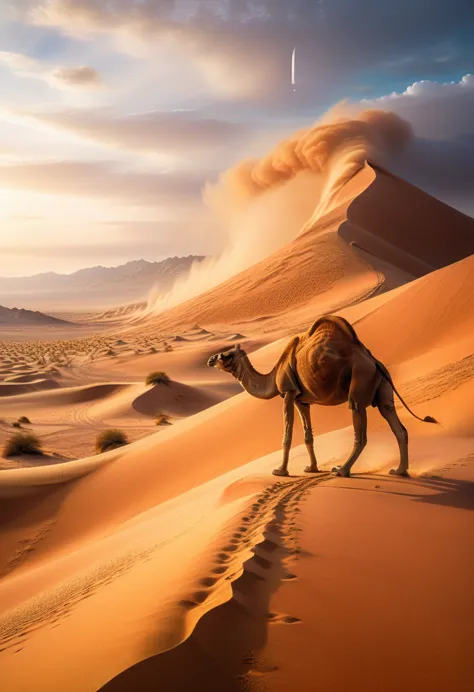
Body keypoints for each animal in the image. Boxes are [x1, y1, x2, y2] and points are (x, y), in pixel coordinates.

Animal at [207, 316, 436, 478]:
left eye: (225, 354)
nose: (210, 360)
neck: (274, 375)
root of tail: (373, 360)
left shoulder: (288, 393)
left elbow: (287, 435)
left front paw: (280, 471)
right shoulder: (302, 400)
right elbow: (308, 436)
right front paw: (312, 468)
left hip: (360, 378)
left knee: (359, 425)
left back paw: (342, 470)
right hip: (382, 387)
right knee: (396, 424)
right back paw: (400, 471)